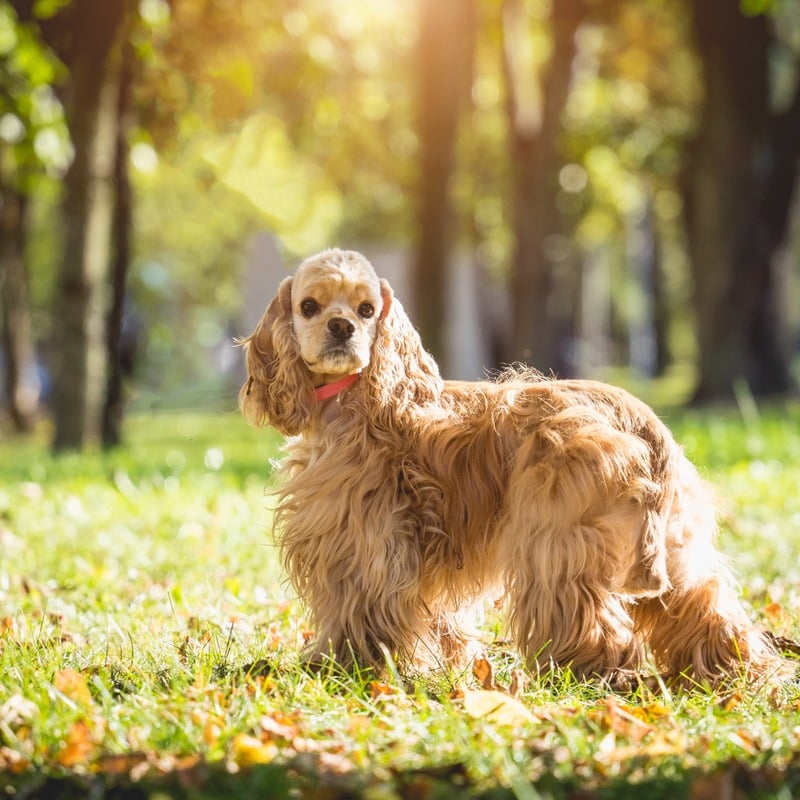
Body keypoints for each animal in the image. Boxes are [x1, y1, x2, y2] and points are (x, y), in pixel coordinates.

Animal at [238, 247, 788, 684]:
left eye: (367, 309)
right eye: (309, 306)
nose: (341, 327)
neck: (357, 398)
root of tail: (640, 421)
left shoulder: (364, 540)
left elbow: (358, 610)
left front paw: (344, 666)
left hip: (556, 545)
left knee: (596, 624)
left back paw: (587, 673)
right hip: (675, 549)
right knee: (708, 606)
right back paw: (735, 672)